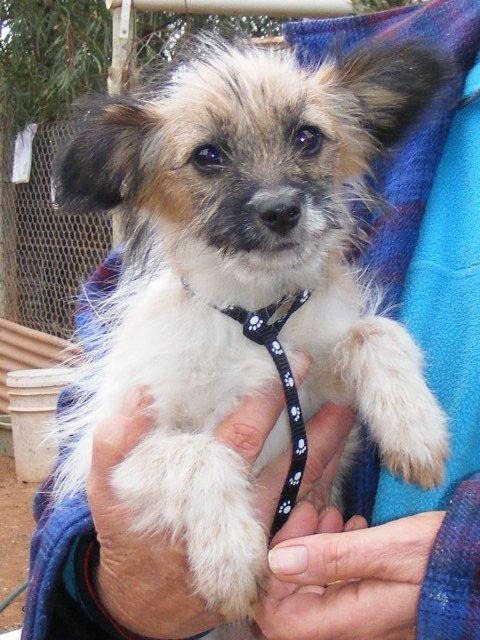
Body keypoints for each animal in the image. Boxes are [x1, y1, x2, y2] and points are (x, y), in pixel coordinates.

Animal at [54, 34, 449, 630]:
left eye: (307, 137)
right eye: (207, 156)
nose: (281, 210)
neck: (256, 320)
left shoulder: (321, 392)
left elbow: (374, 333)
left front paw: (415, 429)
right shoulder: (116, 459)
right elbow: (200, 454)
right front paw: (230, 559)